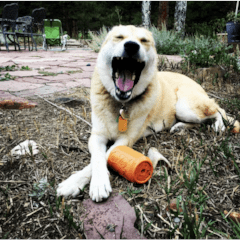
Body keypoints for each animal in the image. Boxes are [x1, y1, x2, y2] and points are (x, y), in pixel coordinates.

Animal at [56, 24, 240, 202]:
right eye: (119, 37)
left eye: (143, 40)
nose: (131, 46)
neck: (121, 103)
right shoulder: (96, 136)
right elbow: (97, 158)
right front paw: (77, 182)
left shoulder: (126, 140)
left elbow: (106, 155)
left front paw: (95, 183)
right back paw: (180, 127)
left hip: (184, 106)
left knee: (217, 111)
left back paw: (218, 125)